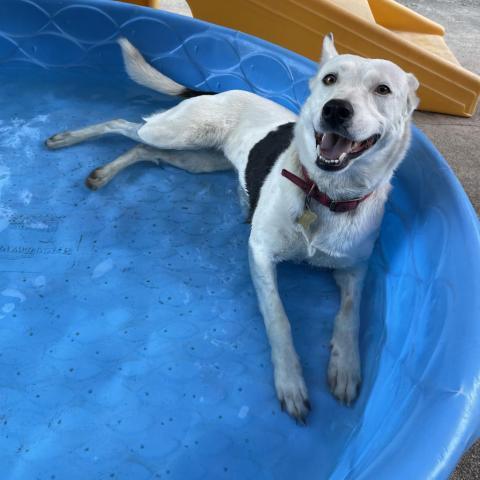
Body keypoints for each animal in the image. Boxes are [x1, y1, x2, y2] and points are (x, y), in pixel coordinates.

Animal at [46, 35, 420, 422]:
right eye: (330, 79)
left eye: (383, 89)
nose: (335, 110)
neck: (324, 194)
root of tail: (217, 91)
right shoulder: (261, 253)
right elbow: (279, 319)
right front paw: (290, 381)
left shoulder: (353, 269)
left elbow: (350, 315)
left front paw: (345, 367)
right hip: (177, 133)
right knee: (124, 125)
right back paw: (68, 139)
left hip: (197, 159)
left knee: (143, 150)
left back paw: (106, 171)